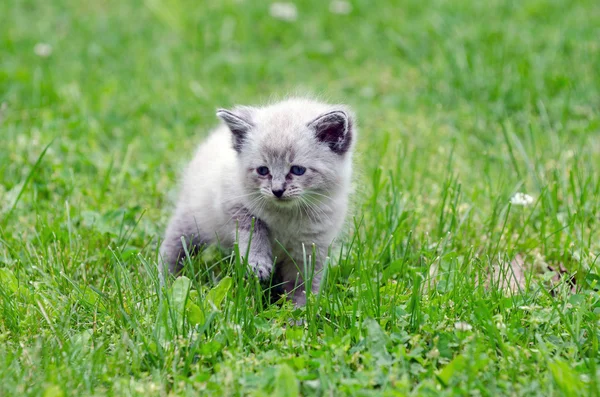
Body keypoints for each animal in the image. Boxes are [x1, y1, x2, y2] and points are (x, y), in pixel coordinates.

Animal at [161, 96, 356, 306]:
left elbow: (303, 282)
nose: (277, 191)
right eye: (263, 170)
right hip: (191, 221)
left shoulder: (311, 246)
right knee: (172, 249)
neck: (285, 216)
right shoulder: (235, 205)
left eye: (297, 170)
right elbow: (254, 231)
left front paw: (299, 310)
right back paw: (165, 283)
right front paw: (258, 264)